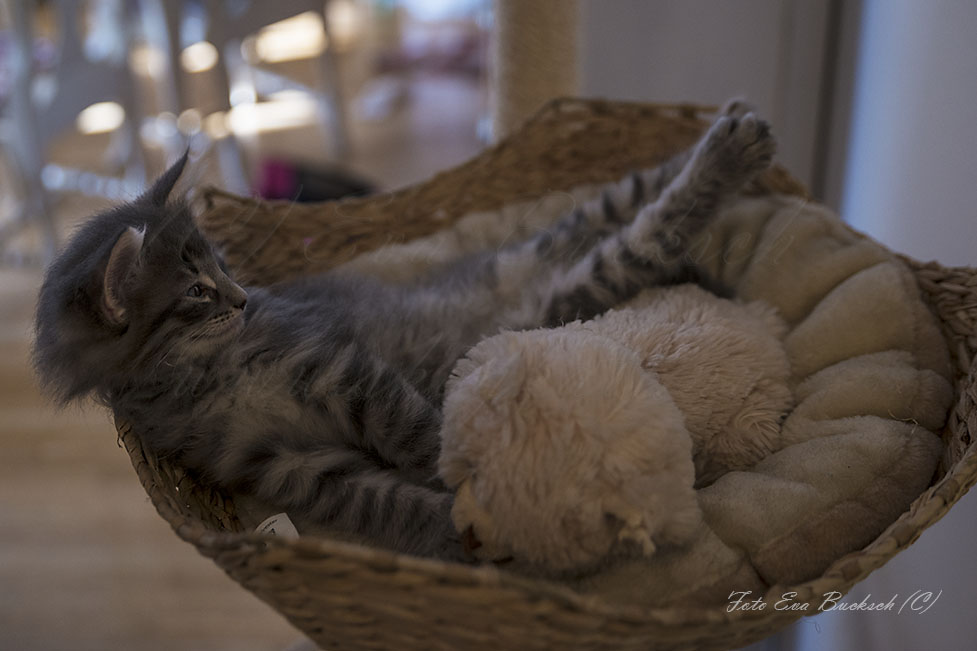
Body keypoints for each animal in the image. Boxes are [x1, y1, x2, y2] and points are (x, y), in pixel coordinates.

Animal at [30, 103, 772, 560]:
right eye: (196, 290)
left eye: (220, 265)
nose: (243, 301)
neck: (210, 379)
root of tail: (515, 281)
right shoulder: (289, 465)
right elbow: (388, 504)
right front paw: (451, 530)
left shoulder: (342, 372)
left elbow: (419, 437)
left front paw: (460, 486)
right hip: (567, 288)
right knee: (628, 228)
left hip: (558, 268)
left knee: (635, 207)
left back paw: (733, 142)